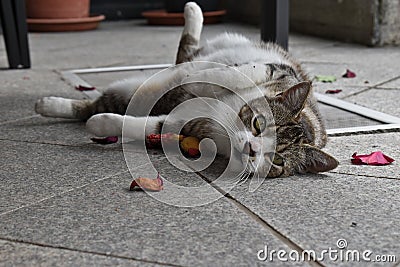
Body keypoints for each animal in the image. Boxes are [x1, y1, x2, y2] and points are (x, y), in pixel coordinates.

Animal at [36, 2, 340, 179]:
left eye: (276, 160)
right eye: (258, 123)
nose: (252, 148)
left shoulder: (185, 126)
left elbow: (145, 126)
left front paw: (101, 125)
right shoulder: (279, 71)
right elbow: (237, 73)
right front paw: (202, 76)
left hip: (129, 94)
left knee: (94, 106)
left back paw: (50, 105)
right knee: (187, 51)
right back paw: (192, 16)